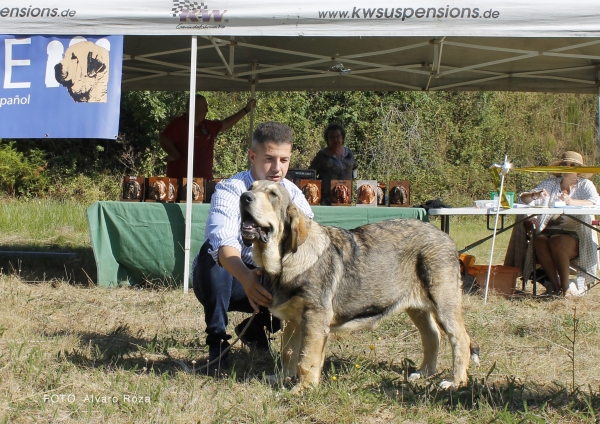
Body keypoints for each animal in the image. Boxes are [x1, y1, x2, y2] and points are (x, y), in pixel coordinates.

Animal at [239, 181, 478, 392]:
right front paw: (282, 378)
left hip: (444, 303)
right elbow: (288, 352)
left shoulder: (314, 318)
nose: (244, 197)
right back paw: (424, 373)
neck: (284, 260)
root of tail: (445, 236)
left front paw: (302, 389)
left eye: (273, 195)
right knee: (432, 336)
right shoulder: (292, 320)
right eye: (251, 187)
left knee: (460, 340)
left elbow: (306, 359)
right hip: (417, 308)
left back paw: (455, 382)